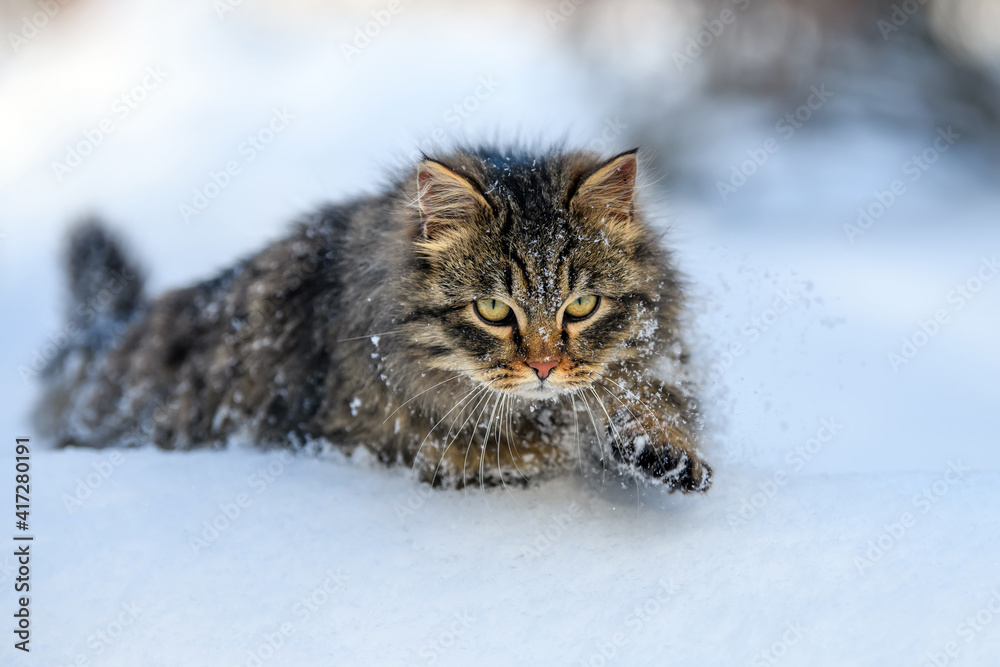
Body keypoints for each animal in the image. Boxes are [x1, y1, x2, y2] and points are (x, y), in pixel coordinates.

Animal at [37, 147, 712, 490]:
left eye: (581, 306)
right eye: (494, 310)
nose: (545, 366)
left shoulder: (656, 366)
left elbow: (651, 405)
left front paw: (662, 454)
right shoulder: (379, 435)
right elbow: (527, 450)